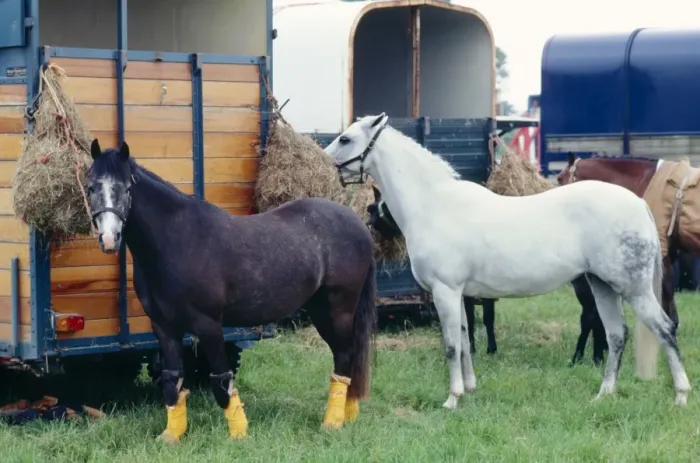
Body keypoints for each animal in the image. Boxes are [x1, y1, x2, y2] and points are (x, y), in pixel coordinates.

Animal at [86, 139, 377, 443]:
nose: (109, 239)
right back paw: (347, 415)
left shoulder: (209, 324)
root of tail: (357, 223)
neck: (177, 241)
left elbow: (221, 382)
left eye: (127, 188)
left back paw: (332, 423)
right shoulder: (164, 327)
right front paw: (172, 436)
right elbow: (172, 380)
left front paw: (239, 434)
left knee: (345, 358)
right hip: (320, 309)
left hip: (339, 308)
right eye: (91, 187)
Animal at [367, 185, 498, 355]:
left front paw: (489, 348)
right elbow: (470, 319)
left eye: (383, 210)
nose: (369, 224)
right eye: (372, 209)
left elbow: (486, 317)